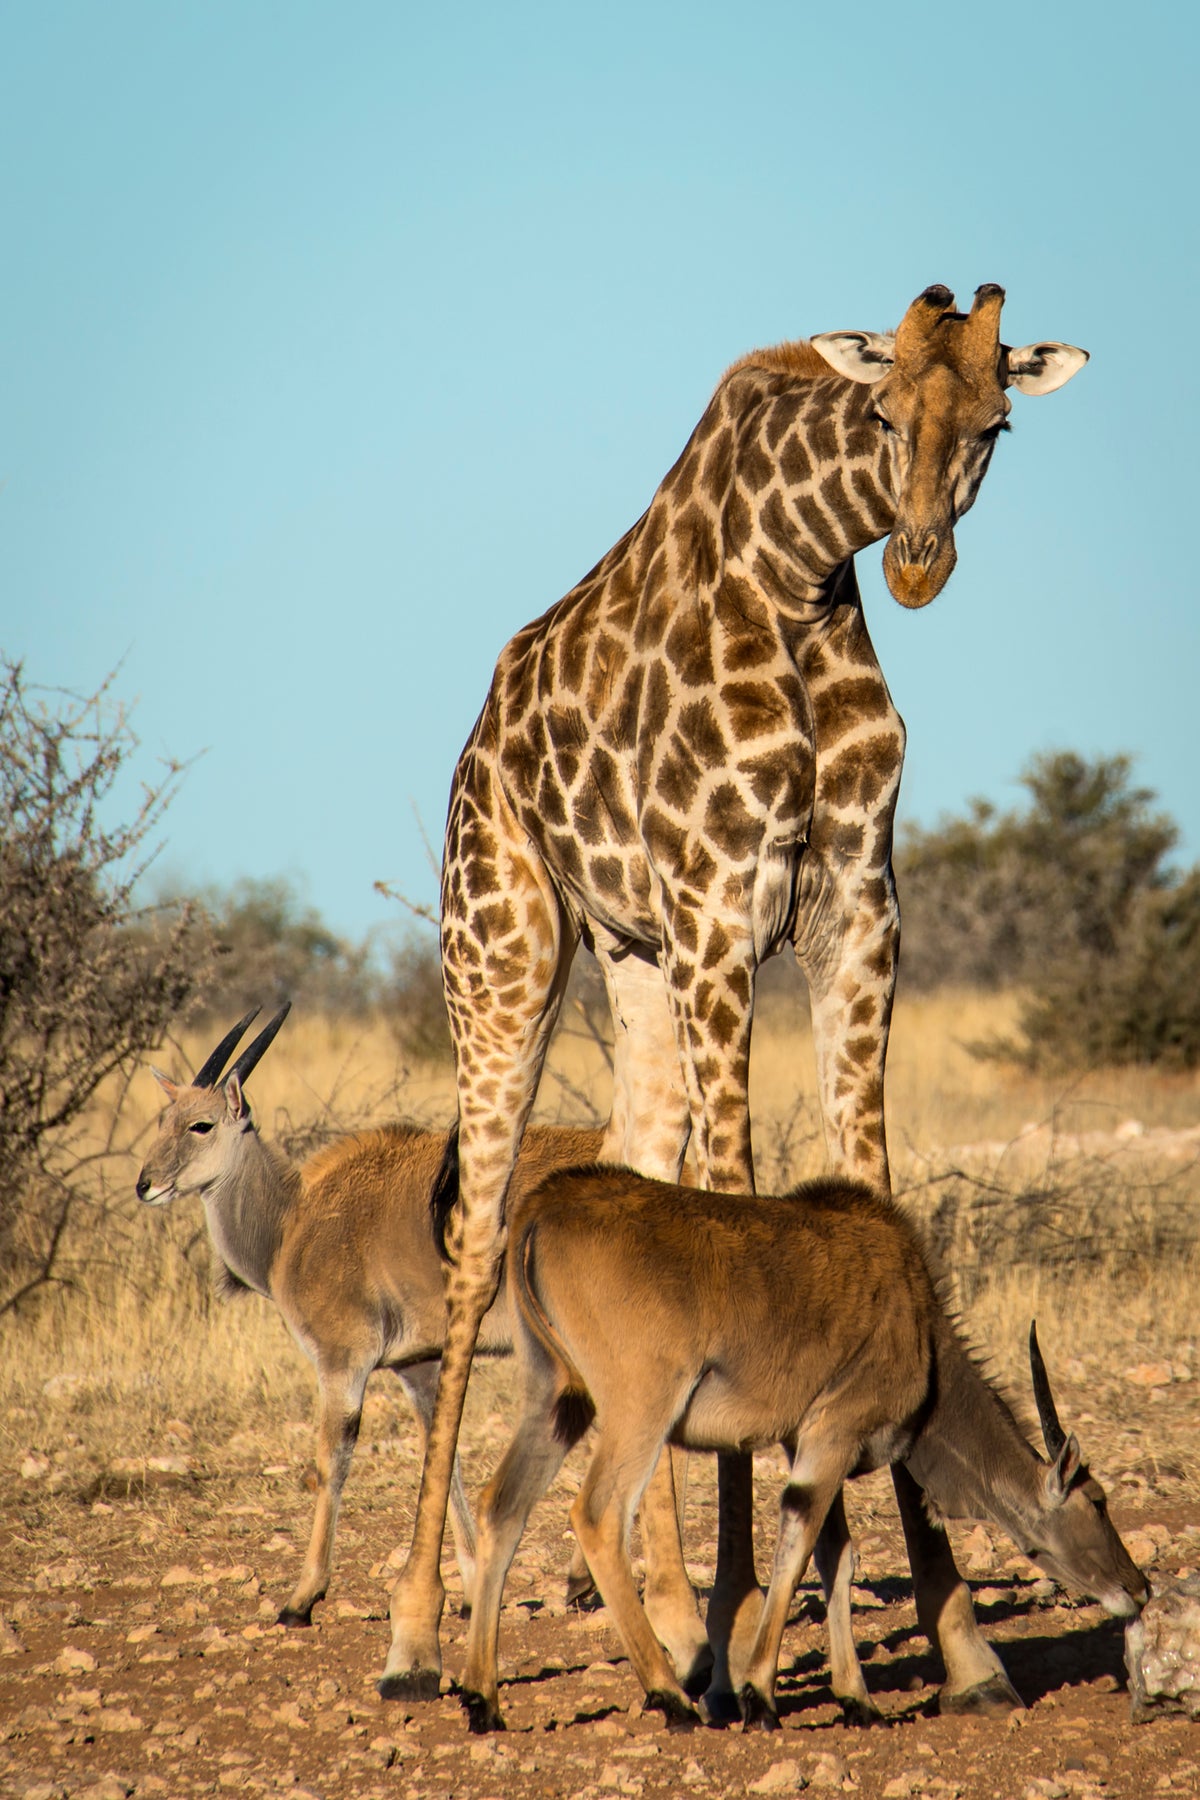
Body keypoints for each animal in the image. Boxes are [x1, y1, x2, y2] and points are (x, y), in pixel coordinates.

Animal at [379, 283, 1089, 1715]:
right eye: (883, 411)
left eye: (996, 421)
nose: (917, 563)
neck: (800, 573)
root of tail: (480, 736)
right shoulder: (721, 904)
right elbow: (741, 1194)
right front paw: (748, 1616)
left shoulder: (857, 909)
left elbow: (864, 1187)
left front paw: (956, 1642)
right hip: (505, 951)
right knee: (476, 1247)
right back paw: (424, 1642)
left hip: (635, 960)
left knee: (632, 1163)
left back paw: (660, 1620)